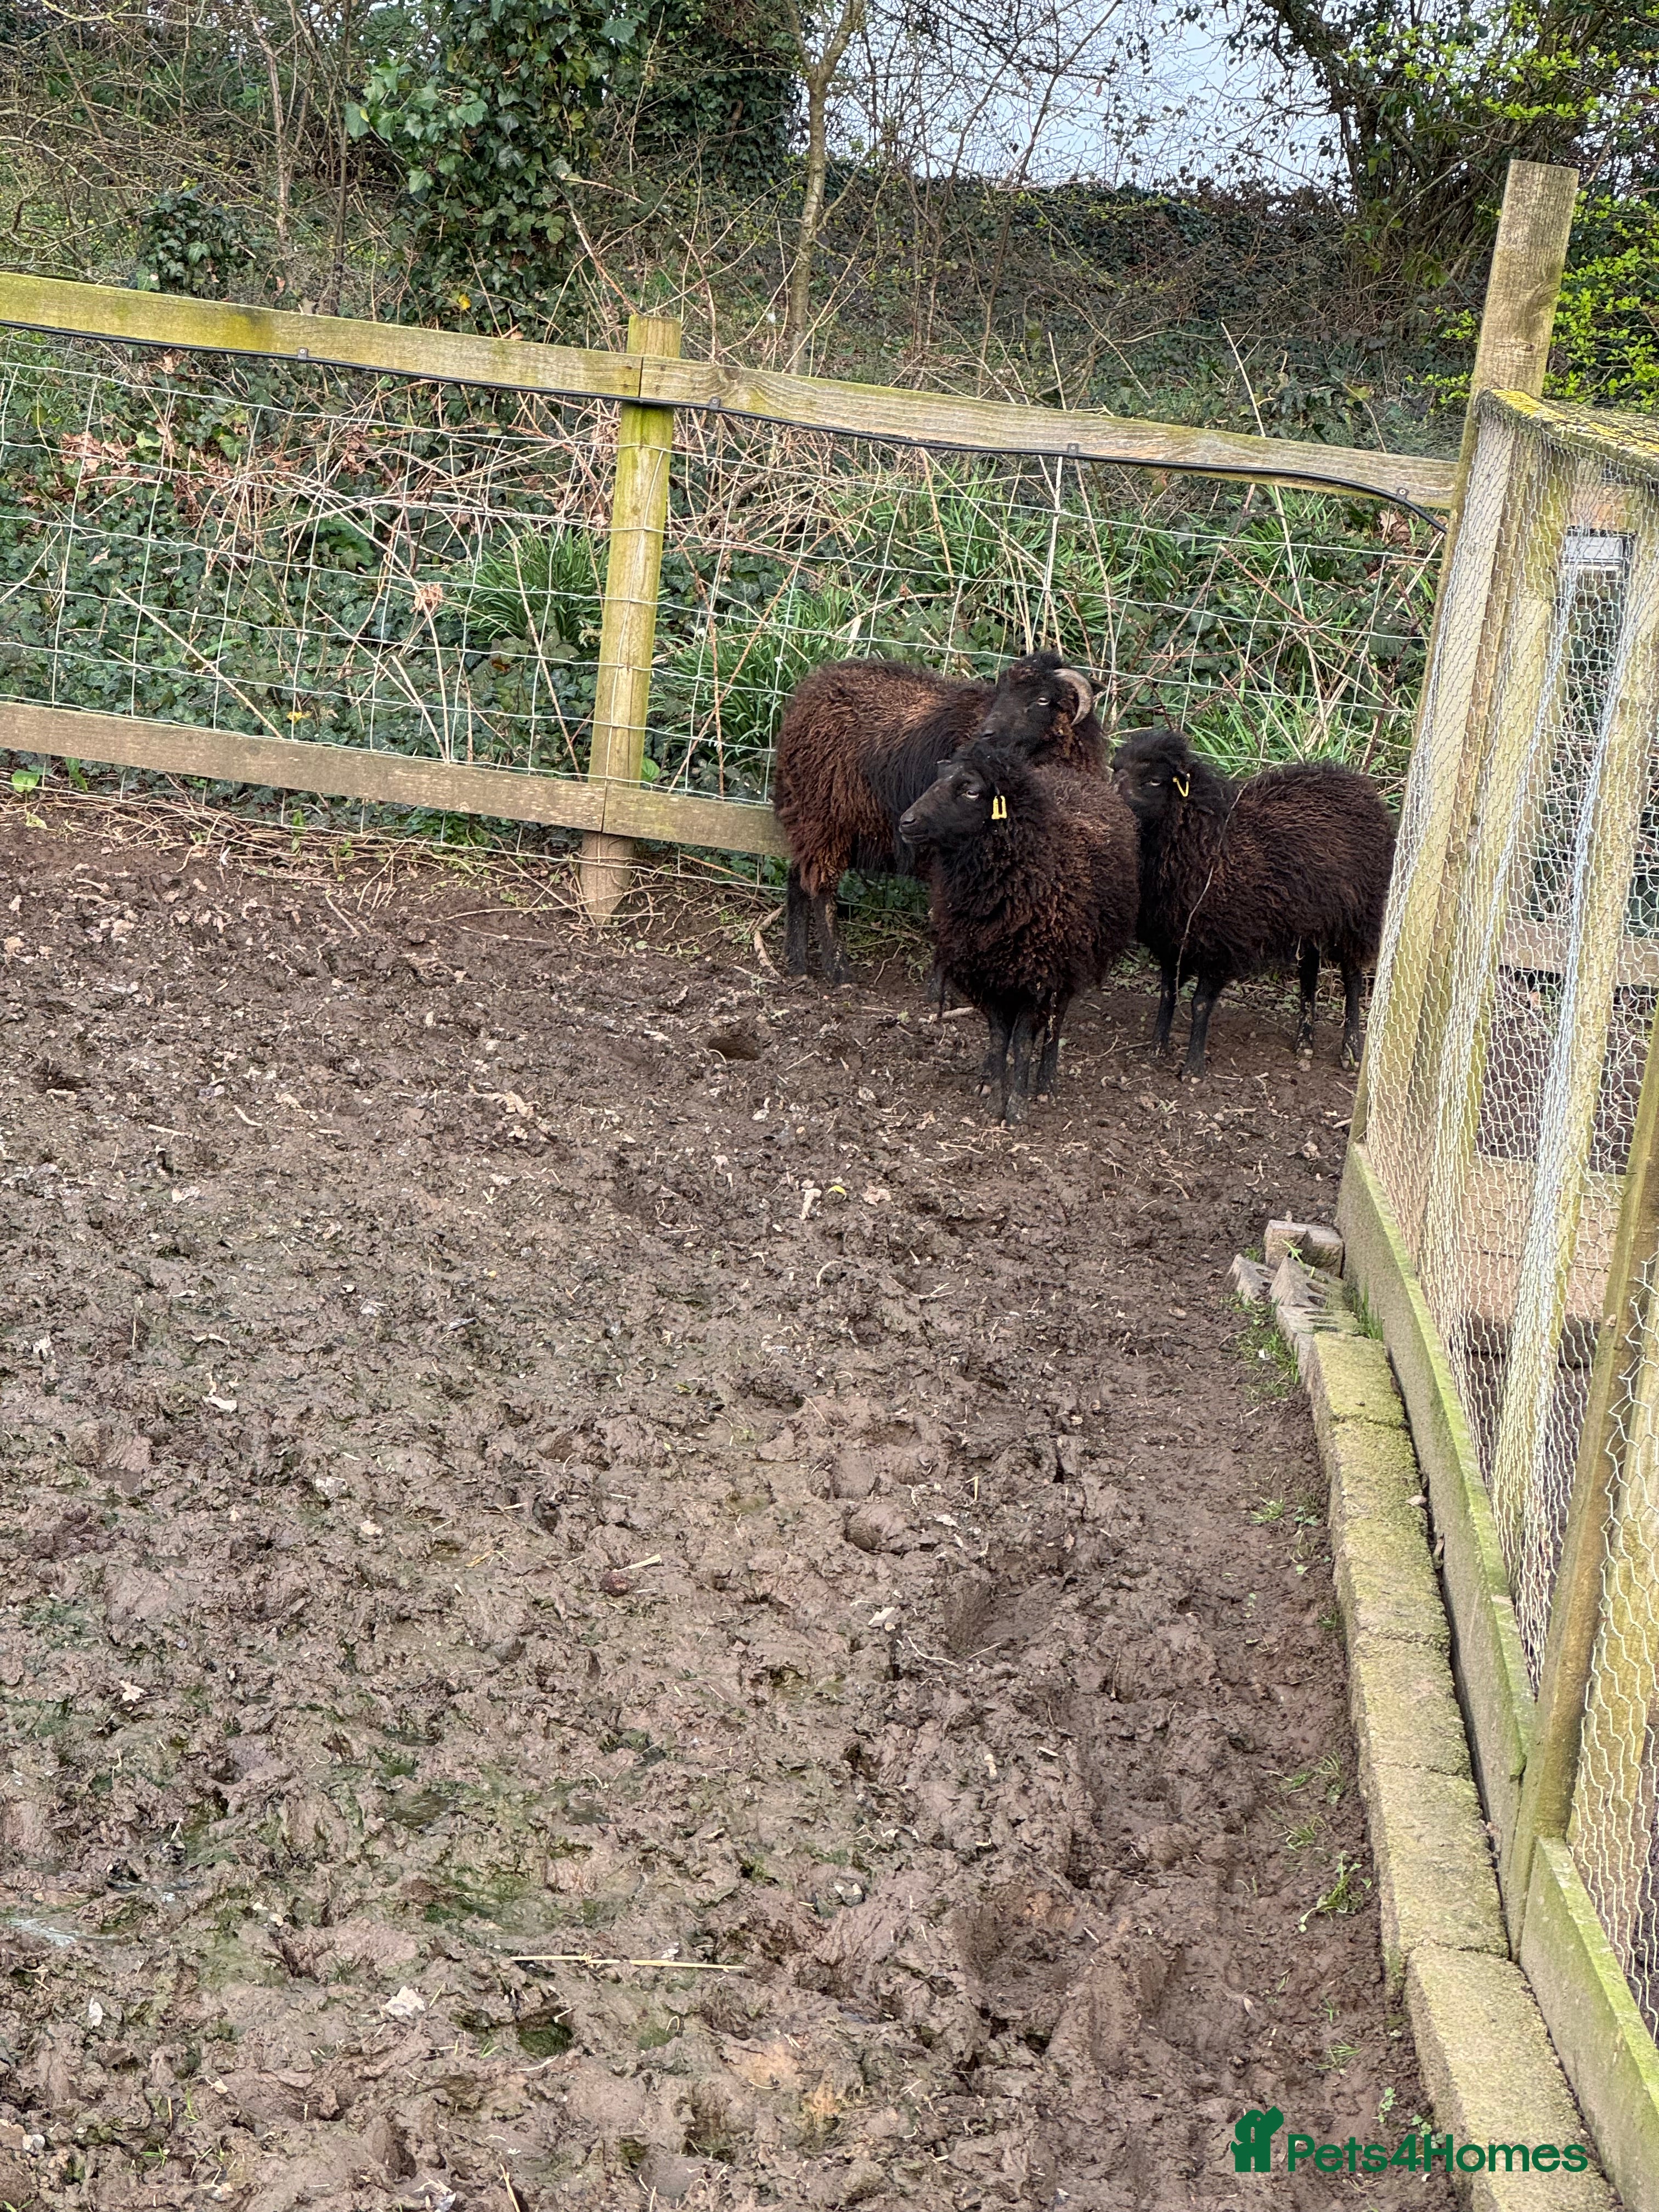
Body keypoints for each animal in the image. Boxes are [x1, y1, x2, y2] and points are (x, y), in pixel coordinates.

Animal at [773, 649, 1103, 982]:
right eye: (1001, 694)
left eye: (1043, 700)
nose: (987, 734)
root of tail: (812, 687)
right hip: (825, 816)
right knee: (821, 888)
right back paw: (838, 970)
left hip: (813, 819)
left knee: (798, 878)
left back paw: (797, 962)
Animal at [896, 739, 1139, 1123]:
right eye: (939, 776)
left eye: (970, 790)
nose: (907, 822)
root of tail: (1070, 774)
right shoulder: (986, 973)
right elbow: (999, 1036)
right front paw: (993, 1094)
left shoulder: (1039, 976)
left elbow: (1024, 1040)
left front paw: (1017, 1108)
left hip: (1068, 964)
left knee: (1056, 1021)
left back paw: (1046, 1083)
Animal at [1112, 725, 1395, 1078]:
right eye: (1116, 769)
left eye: (1153, 780)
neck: (1209, 842)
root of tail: (1358, 783)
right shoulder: (1172, 940)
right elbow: (1168, 994)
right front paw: (1157, 1048)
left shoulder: (1220, 942)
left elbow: (1200, 1003)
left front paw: (1193, 1068)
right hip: (1310, 914)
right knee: (1309, 973)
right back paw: (1305, 1041)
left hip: (1356, 915)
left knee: (1353, 979)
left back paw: (1351, 1050)